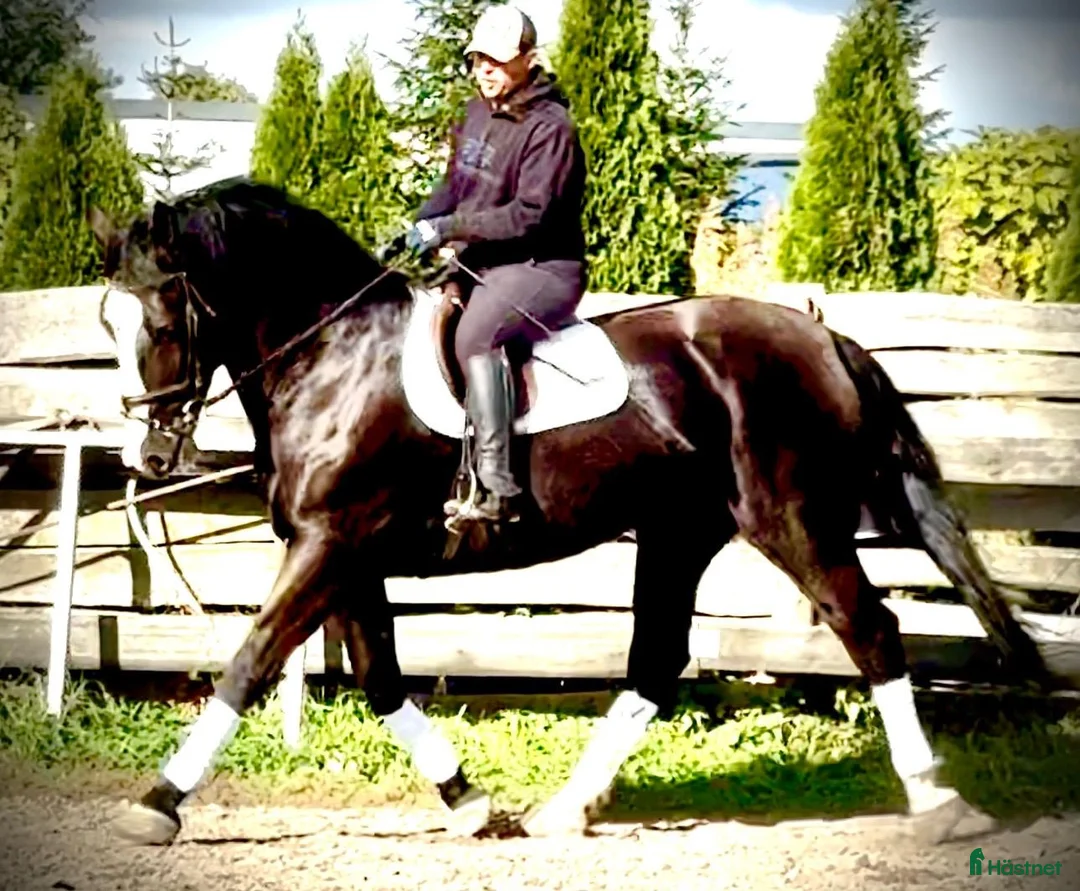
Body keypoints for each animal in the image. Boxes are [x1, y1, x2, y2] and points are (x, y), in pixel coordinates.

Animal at [88, 176, 1051, 848]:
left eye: (163, 320)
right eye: (108, 325)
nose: (149, 457)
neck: (336, 357)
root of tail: (824, 338)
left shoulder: (330, 545)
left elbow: (248, 662)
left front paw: (156, 804)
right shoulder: (346, 555)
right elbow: (381, 679)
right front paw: (469, 802)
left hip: (793, 520)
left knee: (870, 629)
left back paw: (937, 799)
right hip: (680, 531)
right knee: (656, 663)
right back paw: (565, 810)